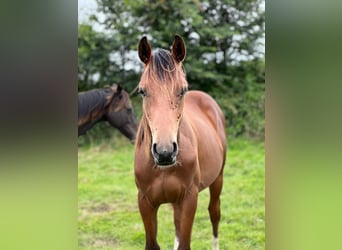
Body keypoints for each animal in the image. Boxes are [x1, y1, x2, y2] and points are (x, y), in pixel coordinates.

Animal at [134, 35, 227, 250]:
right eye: (142, 91)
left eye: (182, 90)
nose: (165, 152)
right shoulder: (145, 202)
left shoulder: (189, 199)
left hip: (218, 179)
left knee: (214, 213)